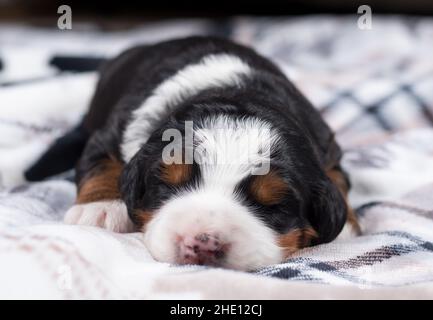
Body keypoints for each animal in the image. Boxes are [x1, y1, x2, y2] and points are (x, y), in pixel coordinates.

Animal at [58, 37, 362, 270]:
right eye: (167, 185)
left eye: (274, 205)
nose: (203, 242)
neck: (237, 91)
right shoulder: (110, 133)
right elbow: (101, 163)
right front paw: (99, 208)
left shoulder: (327, 146)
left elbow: (338, 179)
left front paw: (346, 227)